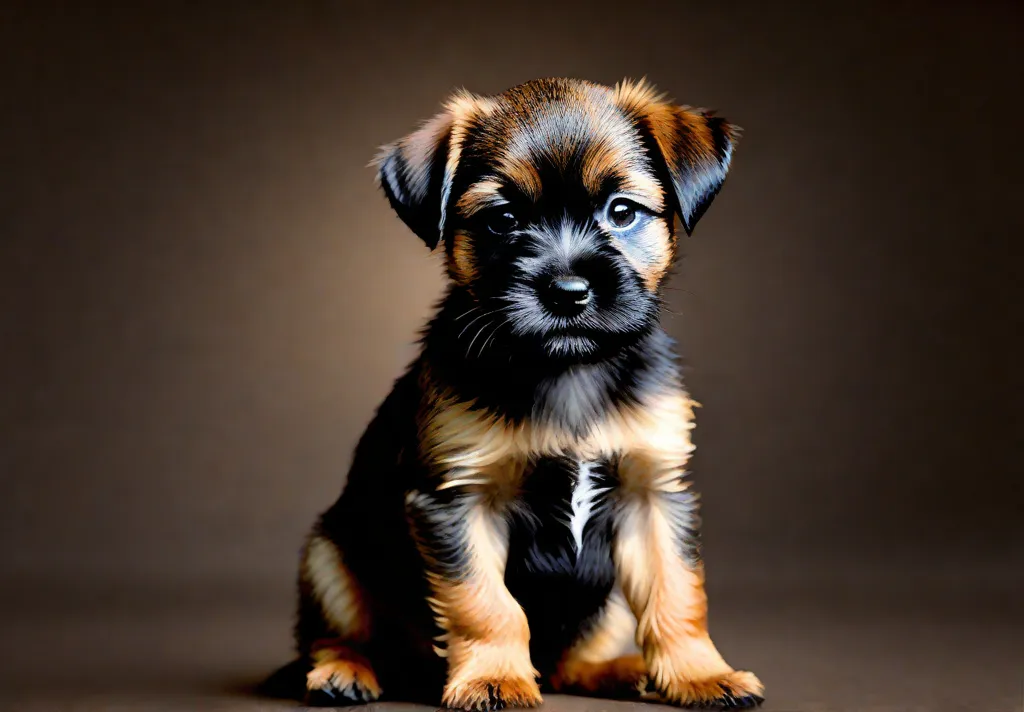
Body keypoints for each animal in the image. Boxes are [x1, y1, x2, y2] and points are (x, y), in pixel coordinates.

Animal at [292, 75, 765, 708]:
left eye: (622, 212)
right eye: (502, 219)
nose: (568, 291)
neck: (568, 371)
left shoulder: (653, 496)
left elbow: (678, 593)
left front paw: (699, 673)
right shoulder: (458, 502)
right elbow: (486, 605)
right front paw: (493, 676)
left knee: (570, 661)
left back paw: (621, 670)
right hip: (329, 558)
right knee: (338, 635)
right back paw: (344, 671)